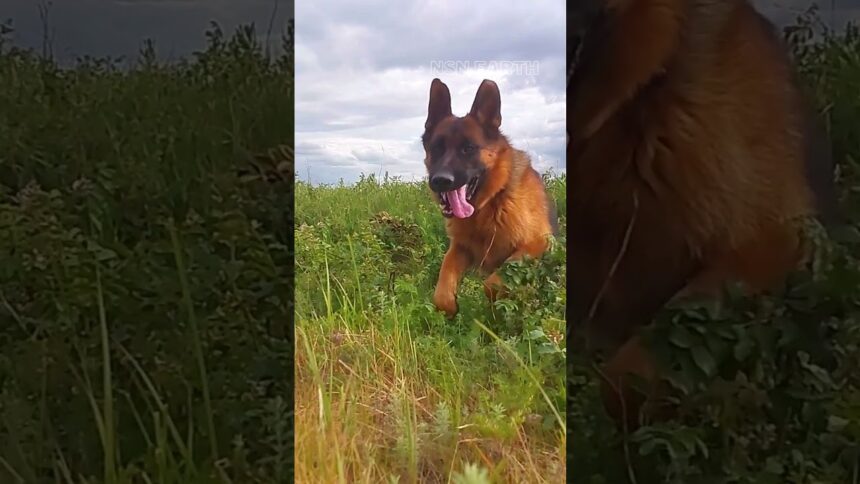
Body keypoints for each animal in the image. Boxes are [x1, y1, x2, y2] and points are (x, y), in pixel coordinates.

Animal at [422, 78, 556, 320]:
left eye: (468, 148)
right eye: (436, 148)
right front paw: (450, 307)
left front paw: (498, 303)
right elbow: (443, 287)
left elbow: (492, 283)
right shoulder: (459, 248)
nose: (441, 181)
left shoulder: (538, 243)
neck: (490, 205)